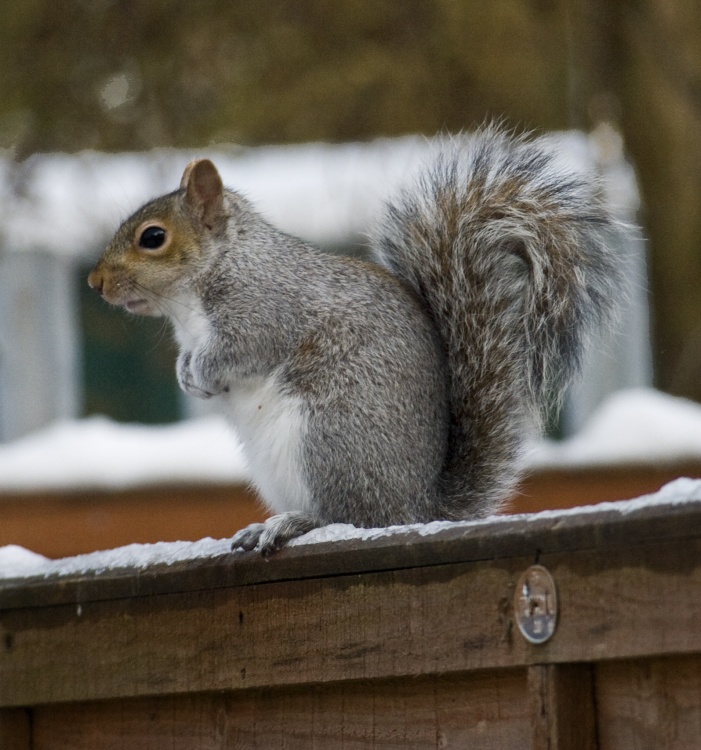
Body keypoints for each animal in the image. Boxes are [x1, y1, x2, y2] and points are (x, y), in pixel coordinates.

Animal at [88, 126, 623, 554]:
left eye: (153, 237)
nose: (95, 282)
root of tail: (417, 507)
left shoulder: (263, 311)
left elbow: (242, 351)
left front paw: (201, 372)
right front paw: (185, 374)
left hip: (330, 439)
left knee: (352, 518)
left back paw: (295, 524)